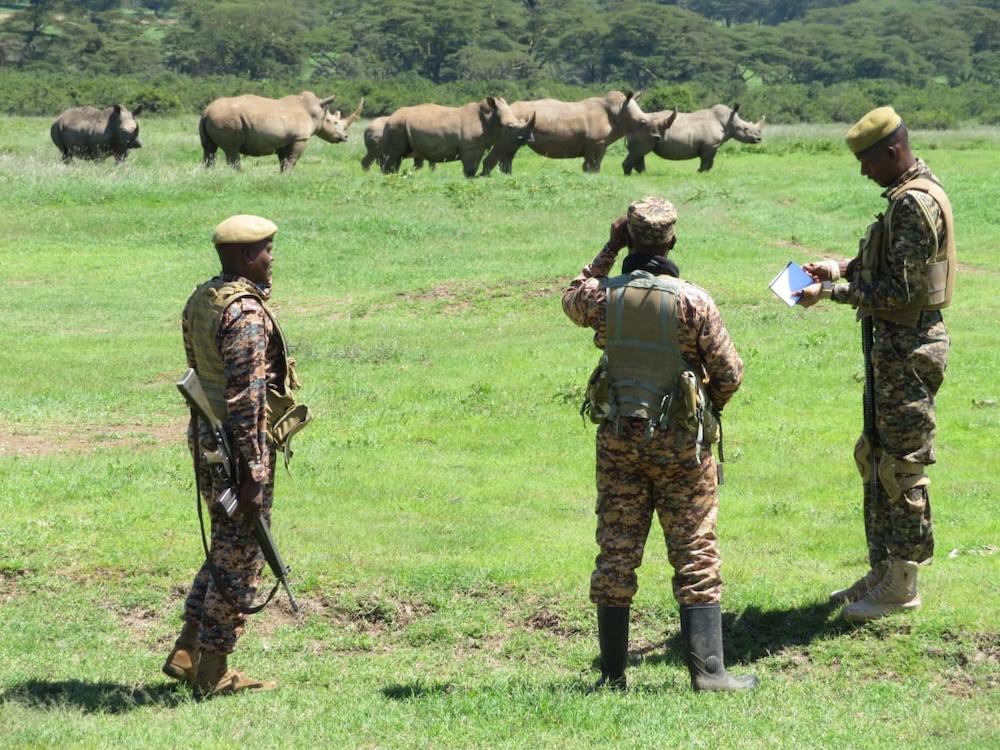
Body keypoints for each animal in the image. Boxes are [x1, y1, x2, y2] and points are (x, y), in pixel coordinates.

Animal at [199, 92, 363, 172]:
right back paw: (239, 175)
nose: (345, 137)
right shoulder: (299, 138)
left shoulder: (284, 142)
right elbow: (292, 160)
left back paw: (209, 174)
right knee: (232, 150)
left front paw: (282, 176)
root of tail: (207, 111)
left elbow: (284, 161)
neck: (316, 112)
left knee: (209, 149)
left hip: (214, 117)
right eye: (334, 122)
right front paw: (288, 176)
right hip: (228, 119)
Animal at [379, 97, 536, 178]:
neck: (490, 117)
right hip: (396, 125)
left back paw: (393, 175)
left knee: (398, 156)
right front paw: (470, 178)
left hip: (399, 125)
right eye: (510, 127)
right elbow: (470, 168)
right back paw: (389, 176)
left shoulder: (478, 146)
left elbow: (474, 165)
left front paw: (474, 177)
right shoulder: (470, 147)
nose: (529, 139)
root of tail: (390, 117)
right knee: (394, 155)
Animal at [481, 91, 666, 175]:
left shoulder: (602, 143)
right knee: (506, 147)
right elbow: (591, 164)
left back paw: (507, 175)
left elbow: (597, 163)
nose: (657, 137)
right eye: (643, 122)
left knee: (509, 151)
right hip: (512, 123)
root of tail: (508, 109)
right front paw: (589, 175)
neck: (619, 110)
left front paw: (594, 175)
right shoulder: (595, 142)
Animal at [622, 103, 764, 174]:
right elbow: (707, 162)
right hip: (644, 131)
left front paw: (702, 173)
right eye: (746, 129)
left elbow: (709, 162)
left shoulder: (710, 146)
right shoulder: (710, 146)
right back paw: (630, 175)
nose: (759, 139)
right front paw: (702, 174)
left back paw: (643, 175)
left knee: (639, 153)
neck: (728, 122)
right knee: (639, 152)